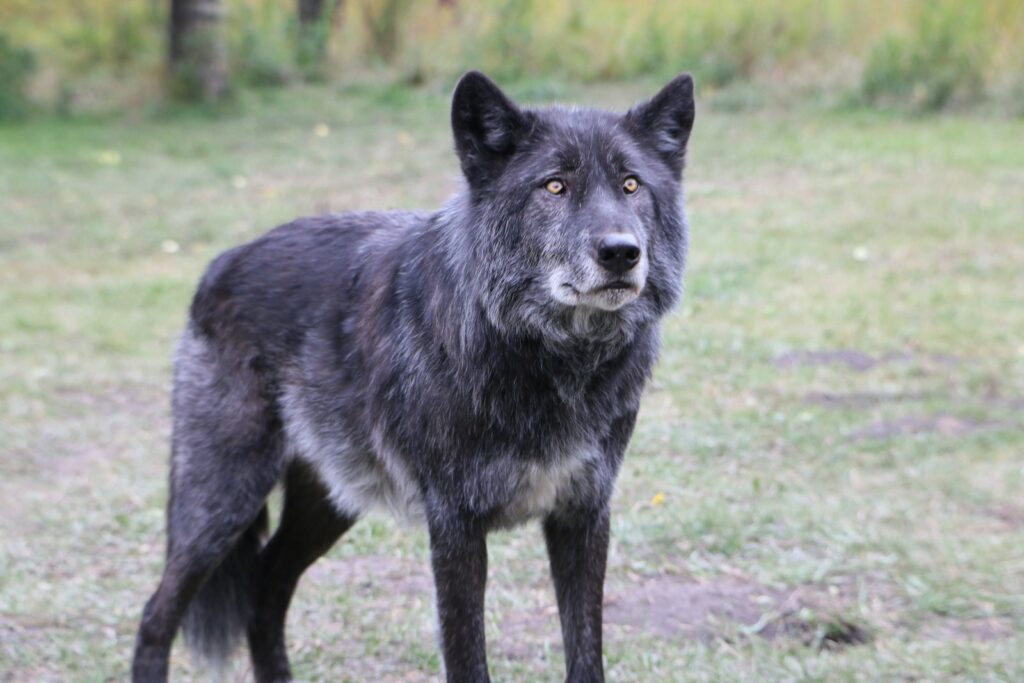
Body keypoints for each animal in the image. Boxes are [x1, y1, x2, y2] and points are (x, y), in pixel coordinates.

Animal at [131, 70, 695, 682]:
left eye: (632, 185)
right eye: (554, 186)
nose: (621, 253)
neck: (552, 358)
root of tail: (218, 264)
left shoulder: (584, 513)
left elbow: (586, 656)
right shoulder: (454, 526)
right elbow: (467, 658)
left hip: (328, 503)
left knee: (267, 588)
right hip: (222, 501)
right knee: (157, 612)